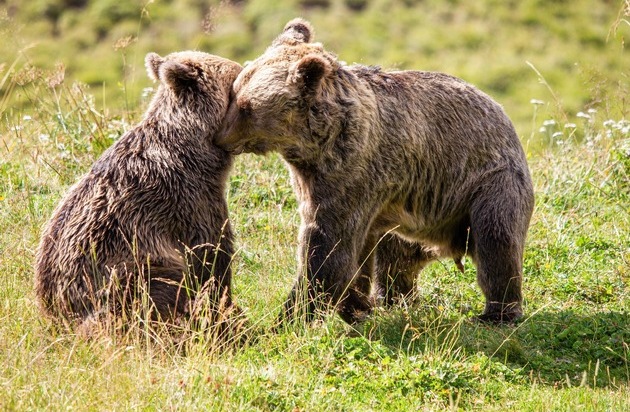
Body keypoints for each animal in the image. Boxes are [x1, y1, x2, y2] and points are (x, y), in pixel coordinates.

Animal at [34, 50, 243, 332]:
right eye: (237, 76)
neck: (197, 150)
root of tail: (57, 318)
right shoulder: (189, 198)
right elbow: (211, 255)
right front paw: (227, 313)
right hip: (123, 272)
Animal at [216, 19, 532, 326]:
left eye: (246, 107)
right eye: (235, 91)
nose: (220, 137)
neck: (318, 144)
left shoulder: (349, 175)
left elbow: (329, 250)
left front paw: (288, 318)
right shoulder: (318, 180)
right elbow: (353, 254)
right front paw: (355, 306)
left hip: (486, 182)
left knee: (496, 239)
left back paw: (498, 313)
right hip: (412, 209)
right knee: (396, 255)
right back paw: (392, 297)